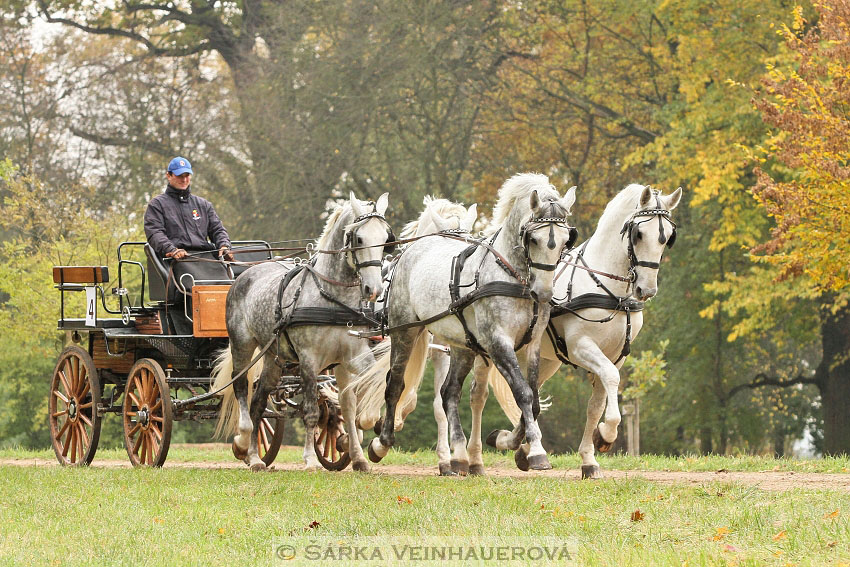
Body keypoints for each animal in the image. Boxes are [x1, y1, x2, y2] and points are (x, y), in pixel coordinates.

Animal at [468, 184, 680, 478]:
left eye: (668, 237)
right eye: (639, 233)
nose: (646, 289)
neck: (611, 292)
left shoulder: (615, 355)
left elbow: (595, 406)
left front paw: (590, 458)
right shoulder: (582, 347)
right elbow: (611, 380)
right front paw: (606, 434)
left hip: (544, 361)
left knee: (529, 395)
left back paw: (519, 447)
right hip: (488, 351)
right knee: (479, 396)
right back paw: (474, 458)